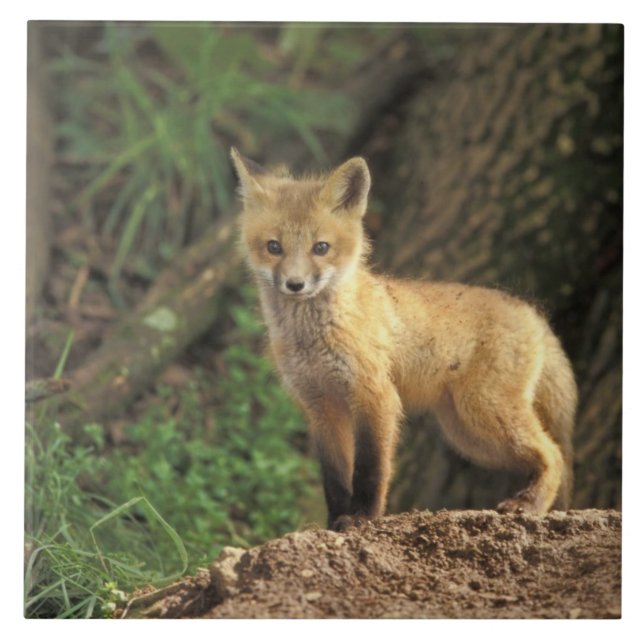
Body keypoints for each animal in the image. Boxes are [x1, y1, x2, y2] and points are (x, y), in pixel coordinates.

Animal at [231, 147, 577, 531]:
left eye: (320, 247)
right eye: (273, 247)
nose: (295, 284)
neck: (314, 339)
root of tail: (531, 311)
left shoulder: (376, 396)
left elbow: (371, 470)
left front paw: (362, 517)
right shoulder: (322, 408)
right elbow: (334, 477)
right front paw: (335, 521)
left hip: (485, 413)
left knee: (555, 454)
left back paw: (531, 504)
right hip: (470, 435)